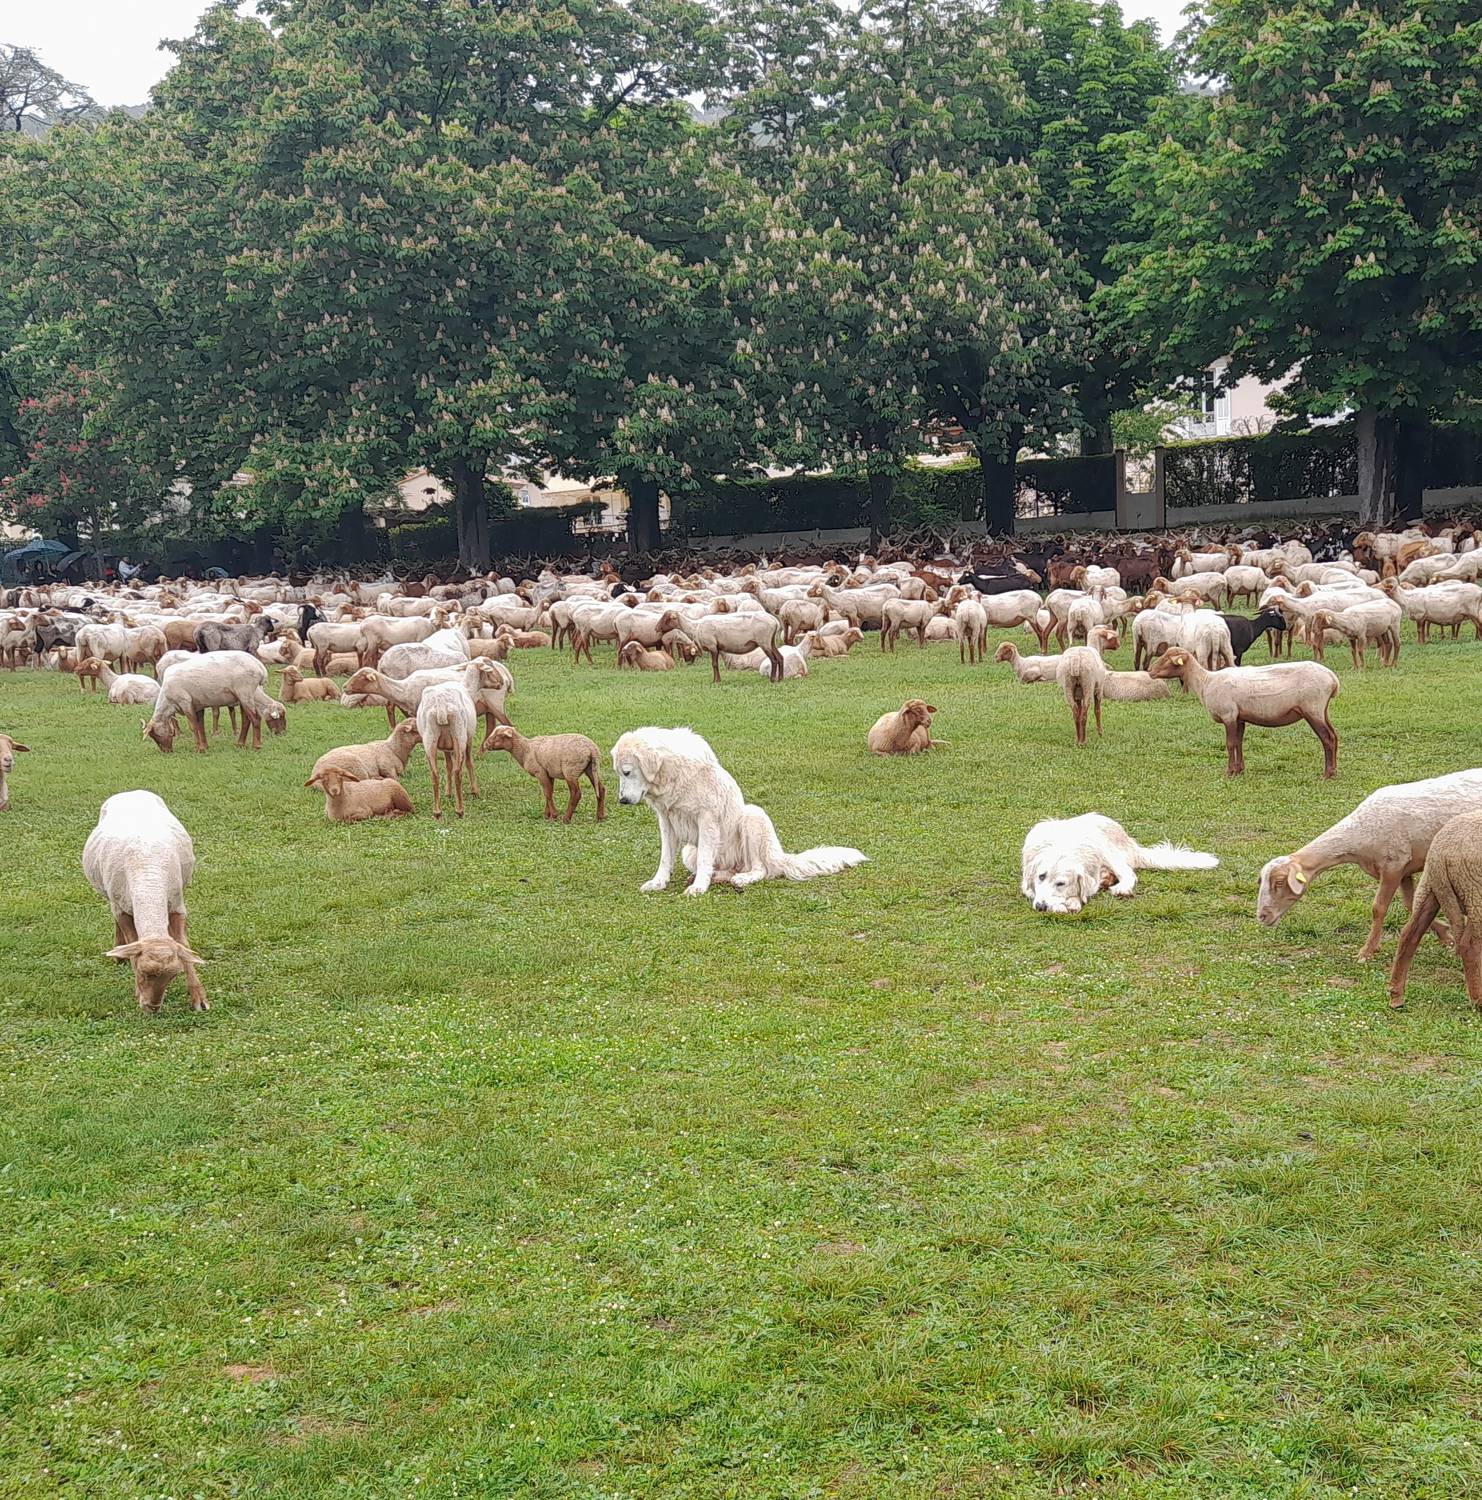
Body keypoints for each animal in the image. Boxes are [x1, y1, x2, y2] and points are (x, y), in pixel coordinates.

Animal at [82, 792, 208, 1014]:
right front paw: (137, 992)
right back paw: (119, 954)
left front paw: (199, 998)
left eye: (173, 976)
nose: (152, 1008)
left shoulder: (177, 904)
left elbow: (183, 945)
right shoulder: (122, 908)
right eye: (142, 972)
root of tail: (130, 792)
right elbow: (132, 943)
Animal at [615, 729, 870, 894]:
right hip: (689, 851)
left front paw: (699, 887)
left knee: (760, 869)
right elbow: (665, 858)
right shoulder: (667, 821)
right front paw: (658, 882)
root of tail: (779, 856)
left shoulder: (706, 819)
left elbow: (705, 857)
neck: (671, 774)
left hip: (753, 817)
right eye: (619, 773)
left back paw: (741, 879)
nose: (622, 800)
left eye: (627, 772)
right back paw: (717, 877)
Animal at [1020, 810, 1218, 912]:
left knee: (1129, 875)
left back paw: (1120, 888)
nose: (1040, 906)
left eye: (1061, 883)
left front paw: (1071, 902)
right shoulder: (1026, 883)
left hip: (1107, 850)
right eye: (1041, 877)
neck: (1063, 846)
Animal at [1146, 651, 1344, 780]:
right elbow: (1239, 742)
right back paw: (1334, 771)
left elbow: (1230, 743)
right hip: (1322, 710)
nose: (1150, 671)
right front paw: (1240, 770)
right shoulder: (1239, 717)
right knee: (1334, 736)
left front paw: (1230, 772)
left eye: (1167, 659)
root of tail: (1333, 680)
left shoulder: (1228, 714)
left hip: (1312, 708)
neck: (1205, 682)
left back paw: (1327, 774)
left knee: (1327, 738)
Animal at [1386, 810, 1482, 1008]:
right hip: (1474, 892)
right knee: (1470, 945)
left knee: (1410, 934)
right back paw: (1479, 1001)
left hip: (1433, 887)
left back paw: (1396, 997)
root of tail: (1442, 851)